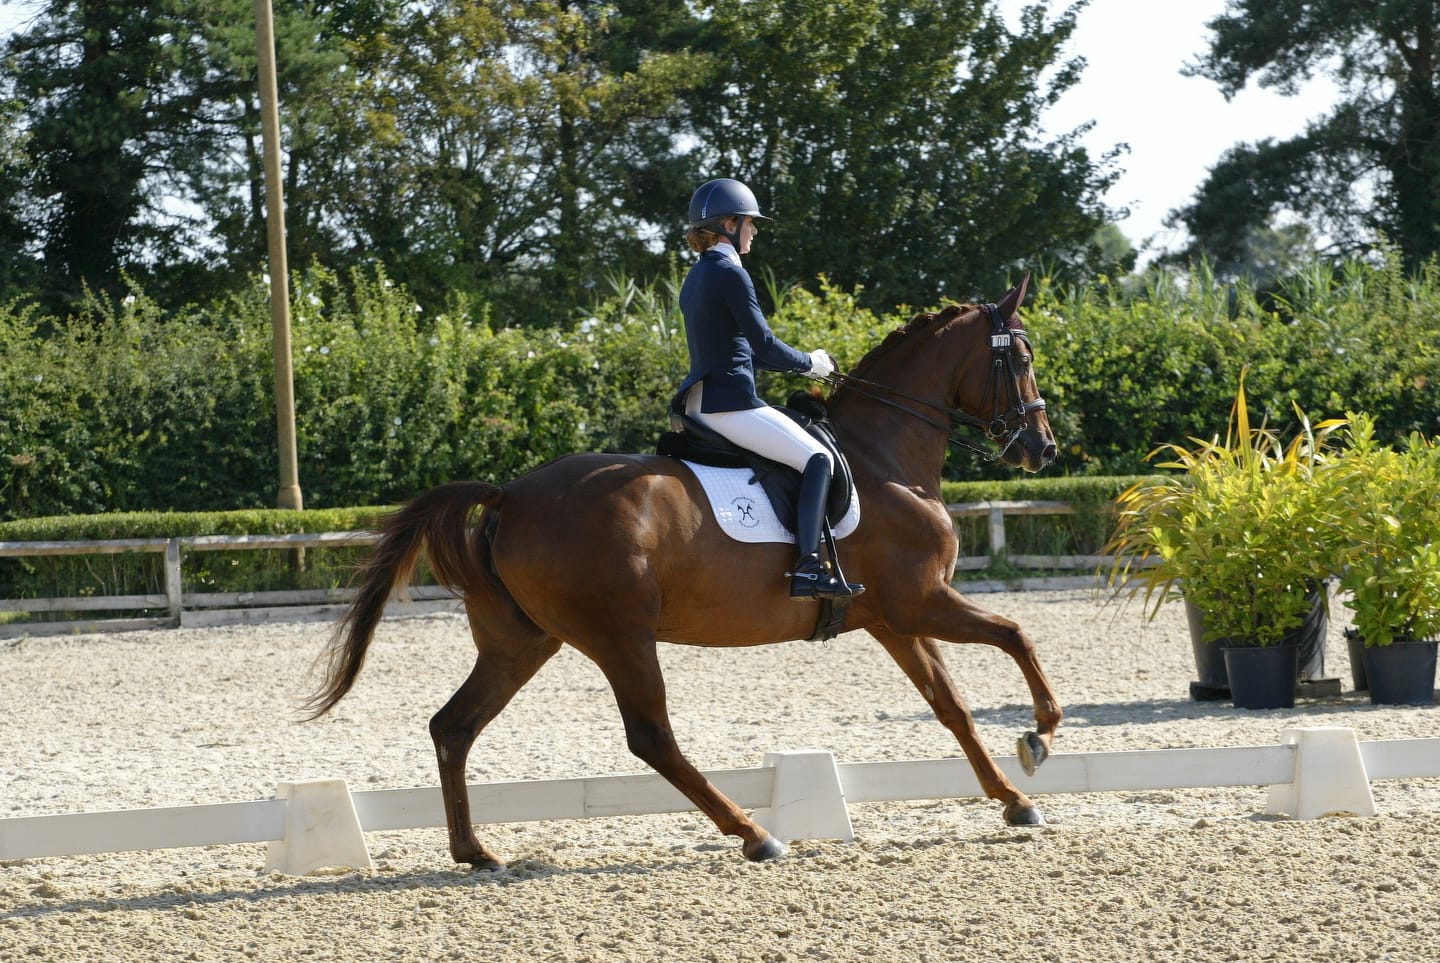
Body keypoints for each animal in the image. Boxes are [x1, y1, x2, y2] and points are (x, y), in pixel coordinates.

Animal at [304, 277, 1061, 868]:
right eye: (1022, 355)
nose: (1043, 449)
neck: (884, 458)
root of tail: (512, 495)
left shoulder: (893, 618)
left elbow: (951, 705)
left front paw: (1014, 799)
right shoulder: (922, 600)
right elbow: (1017, 634)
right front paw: (1040, 736)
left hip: (522, 641)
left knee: (454, 726)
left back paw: (475, 851)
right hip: (619, 636)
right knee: (651, 737)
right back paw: (754, 834)